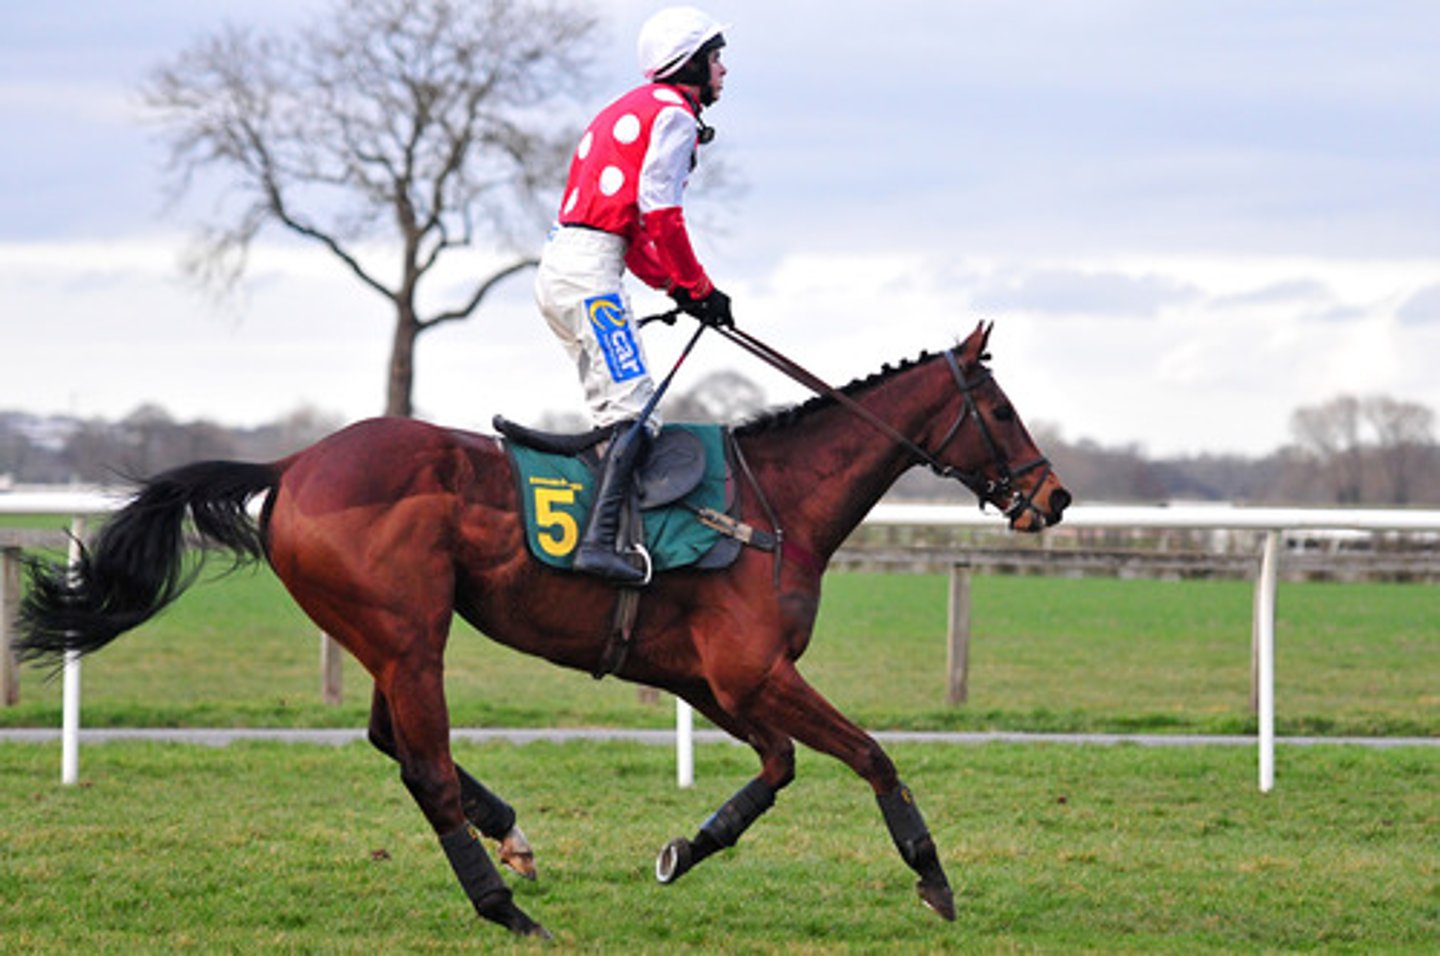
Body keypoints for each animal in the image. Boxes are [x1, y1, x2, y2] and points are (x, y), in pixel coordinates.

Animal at [17, 321, 1069, 939]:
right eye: (1000, 406)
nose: (1053, 497)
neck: (775, 503)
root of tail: (296, 463)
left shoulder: (711, 679)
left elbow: (778, 768)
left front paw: (687, 847)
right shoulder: (752, 671)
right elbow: (872, 755)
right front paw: (932, 878)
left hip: (386, 637)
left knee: (393, 741)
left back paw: (511, 838)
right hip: (411, 634)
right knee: (424, 764)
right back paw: (504, 905)